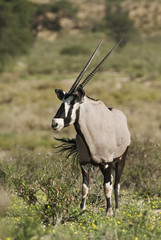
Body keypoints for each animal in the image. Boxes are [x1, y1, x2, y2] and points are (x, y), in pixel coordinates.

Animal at [51, 40, 131, 217]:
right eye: (62, 102)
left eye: (72, 103)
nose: (55, 123)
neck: (92, 134)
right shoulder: (85, 164)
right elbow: (84, 188)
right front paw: (81, 211)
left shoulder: (107, 163)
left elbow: (107, 187)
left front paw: (108, 212)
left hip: (120, 159)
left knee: (116, 184)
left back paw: (117, 210)